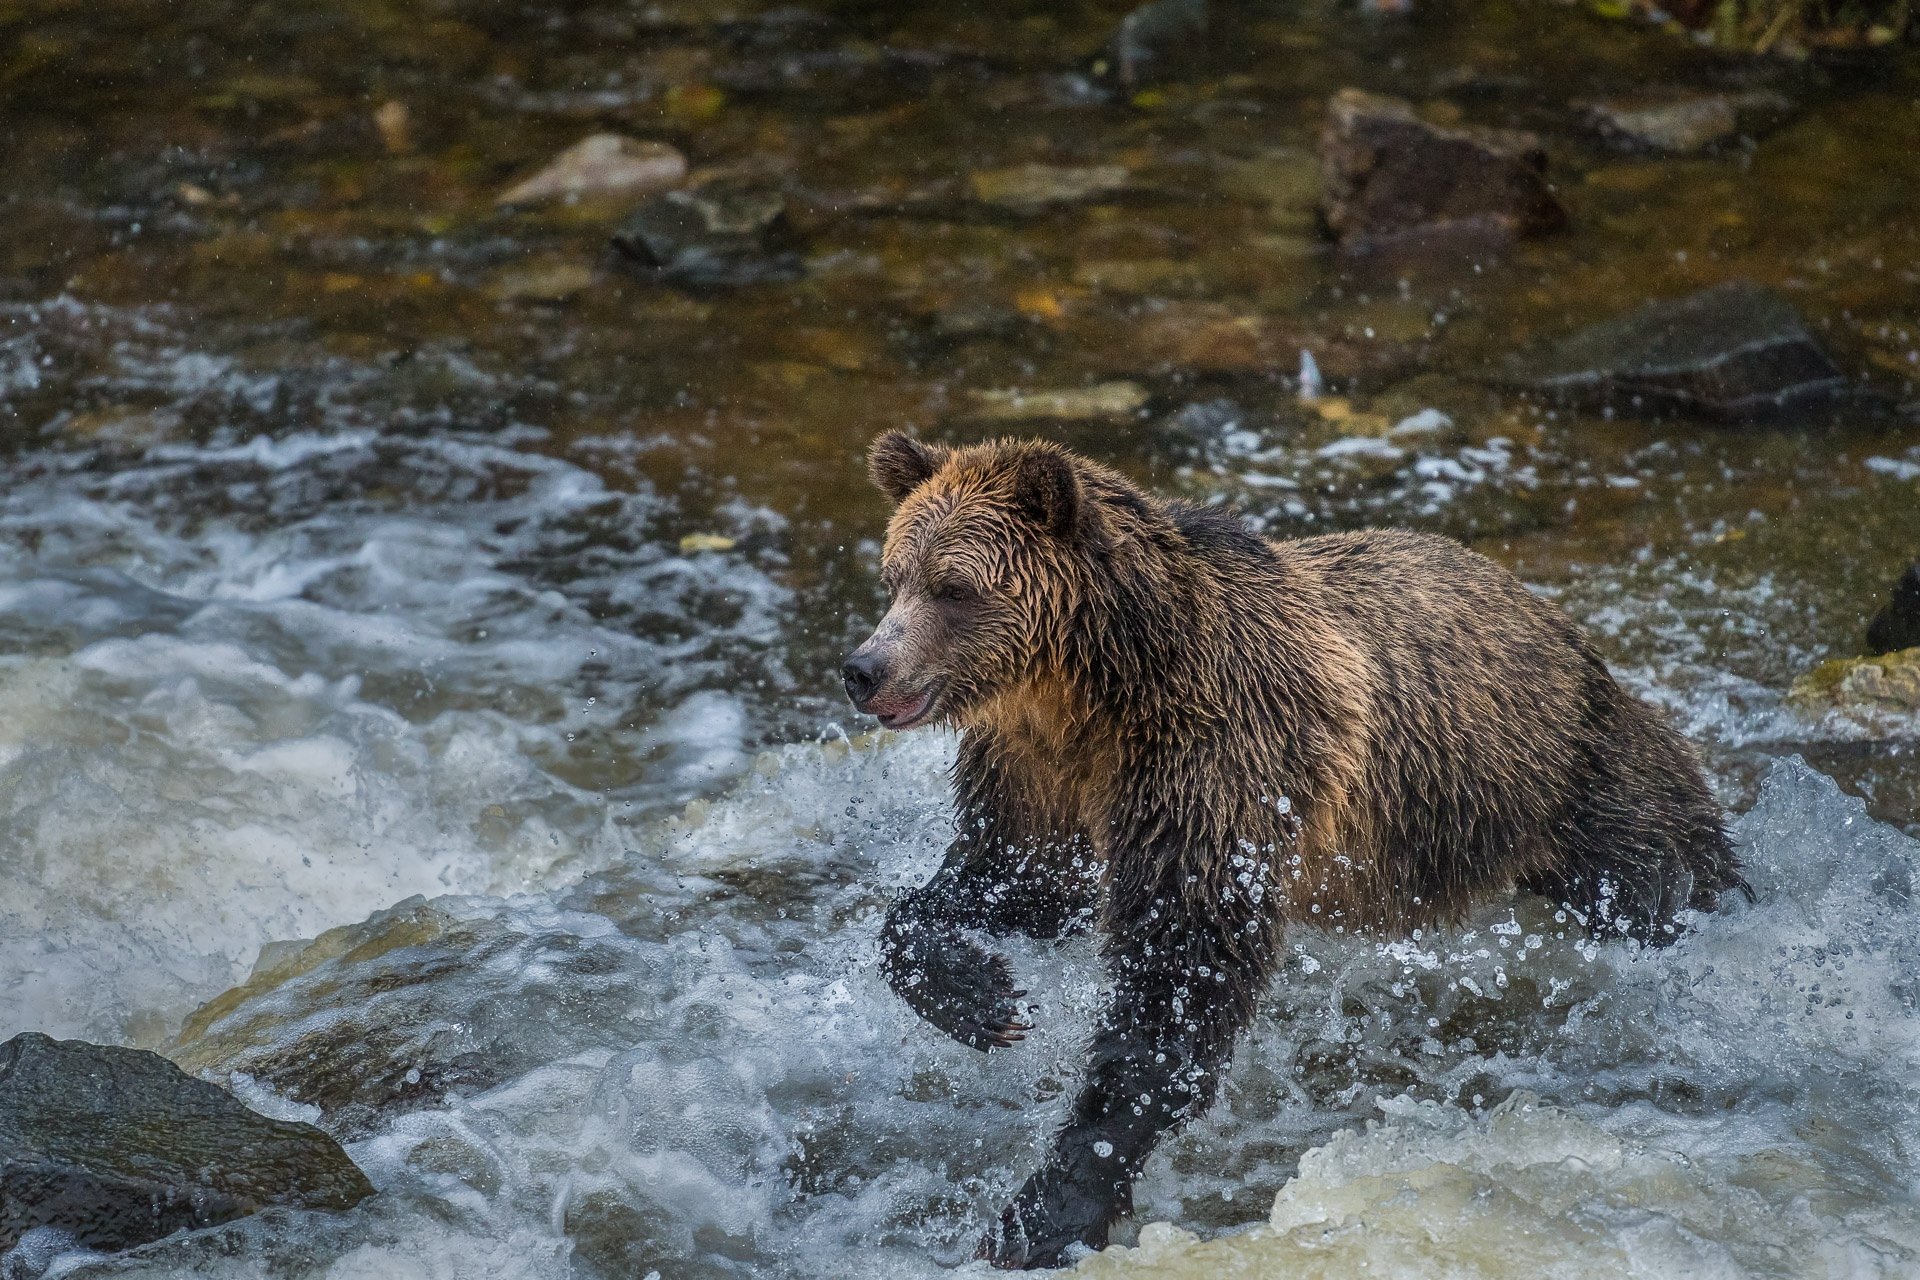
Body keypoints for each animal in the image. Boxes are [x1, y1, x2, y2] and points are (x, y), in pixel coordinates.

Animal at [842, 431, 1747, 1269]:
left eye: (954, 587)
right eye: (894, 576)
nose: (863, 668)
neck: (1090, 690)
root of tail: (1555, 620)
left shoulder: (1213, 760)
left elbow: (1180, 975)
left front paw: (1045, 1210)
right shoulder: (1035, 778)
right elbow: (1011, 885)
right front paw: (982, 998)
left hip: (1571, 780)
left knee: (1661, 874)